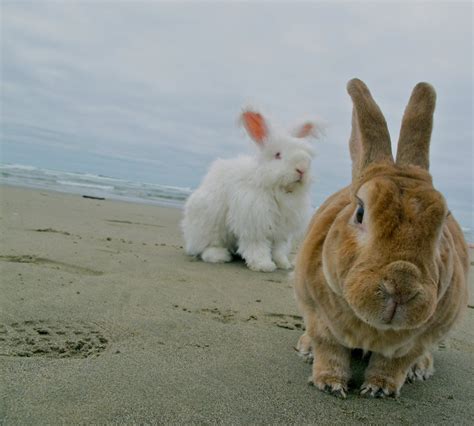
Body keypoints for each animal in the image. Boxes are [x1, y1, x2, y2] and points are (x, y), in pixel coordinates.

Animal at [181, 110, 322, 272]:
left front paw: (283, 264)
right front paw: (264, 265)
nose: (302, 169)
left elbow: (278, 249)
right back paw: (220, 255)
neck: (277, 188)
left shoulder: (281, 232)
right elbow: (257, 247)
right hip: (208, 224)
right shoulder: (254, 224)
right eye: (278, 155)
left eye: (307, 154)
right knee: (204, 248)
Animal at [294, 78, 468, 398]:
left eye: (443, 221)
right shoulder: (316, 313)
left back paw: (421, 369)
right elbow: (329, 348)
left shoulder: (418, 340)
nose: (401, 287)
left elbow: (395, 363)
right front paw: (330, 383)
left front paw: (379, 389)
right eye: (361, 211)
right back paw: (306, 349)